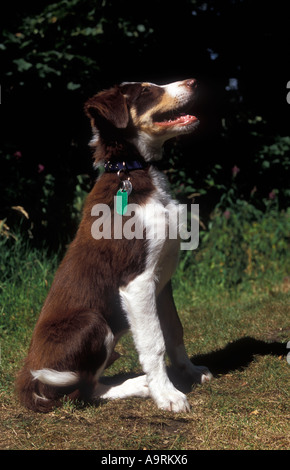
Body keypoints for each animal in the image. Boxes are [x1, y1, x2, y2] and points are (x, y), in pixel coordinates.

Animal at [16, 79, 211, 414]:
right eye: (146, 91)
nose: (194, 82)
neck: (133, 171)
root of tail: (26, 382)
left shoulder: (162, 280)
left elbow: (174, 330)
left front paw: (190, 371)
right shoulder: (136, 281)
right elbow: (154, 342)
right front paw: (168, 395)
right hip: (92, 323)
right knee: (84, 391)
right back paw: (140, 386)